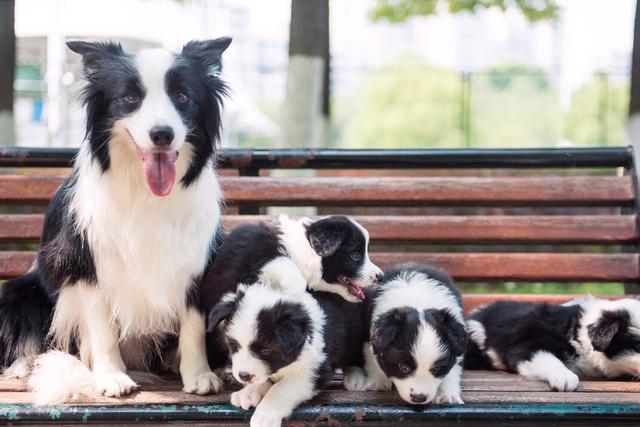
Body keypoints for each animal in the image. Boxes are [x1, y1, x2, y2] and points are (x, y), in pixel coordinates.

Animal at [0, 38, 232, 402]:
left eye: (182, 97)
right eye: (131, 97)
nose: (162, 134)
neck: (145, 193)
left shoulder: (195, 263)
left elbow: (193, 325)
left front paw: (198, 374)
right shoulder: (86, 265)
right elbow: (102, 328)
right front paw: (111, 375)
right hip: (21, 291)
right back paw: (23, 367)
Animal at [208, 282, 368, 426]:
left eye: (265, 350)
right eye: (234, 345)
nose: (243, 376)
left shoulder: (315, 372)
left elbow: (280, 389)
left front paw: (265, 415)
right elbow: (265, 379)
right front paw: (248, 393)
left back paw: (356, 377)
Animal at [344, 266, 464, 406]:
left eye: (437, 368)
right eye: (403, 367)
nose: (419, 398)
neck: (417, 300)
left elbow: (452, 370)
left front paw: (448, 395)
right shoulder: (370, 337)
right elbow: (372, 358)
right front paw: (378, 383)